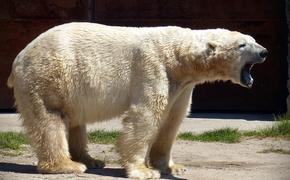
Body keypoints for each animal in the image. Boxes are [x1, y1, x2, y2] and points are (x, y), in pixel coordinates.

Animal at [7, 23, 268, 179]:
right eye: (242, 45)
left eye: (252, 38)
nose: (264, 52)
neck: (178, 56)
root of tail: (19, 56)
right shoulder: (152, 68)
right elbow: (146, 116)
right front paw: (143, 170)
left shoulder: (182, 85)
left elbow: (172, 120)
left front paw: (172, 166)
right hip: (49, 77)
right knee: (50, 118)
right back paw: (67, 165)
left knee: (74, 121)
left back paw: (92, 160)